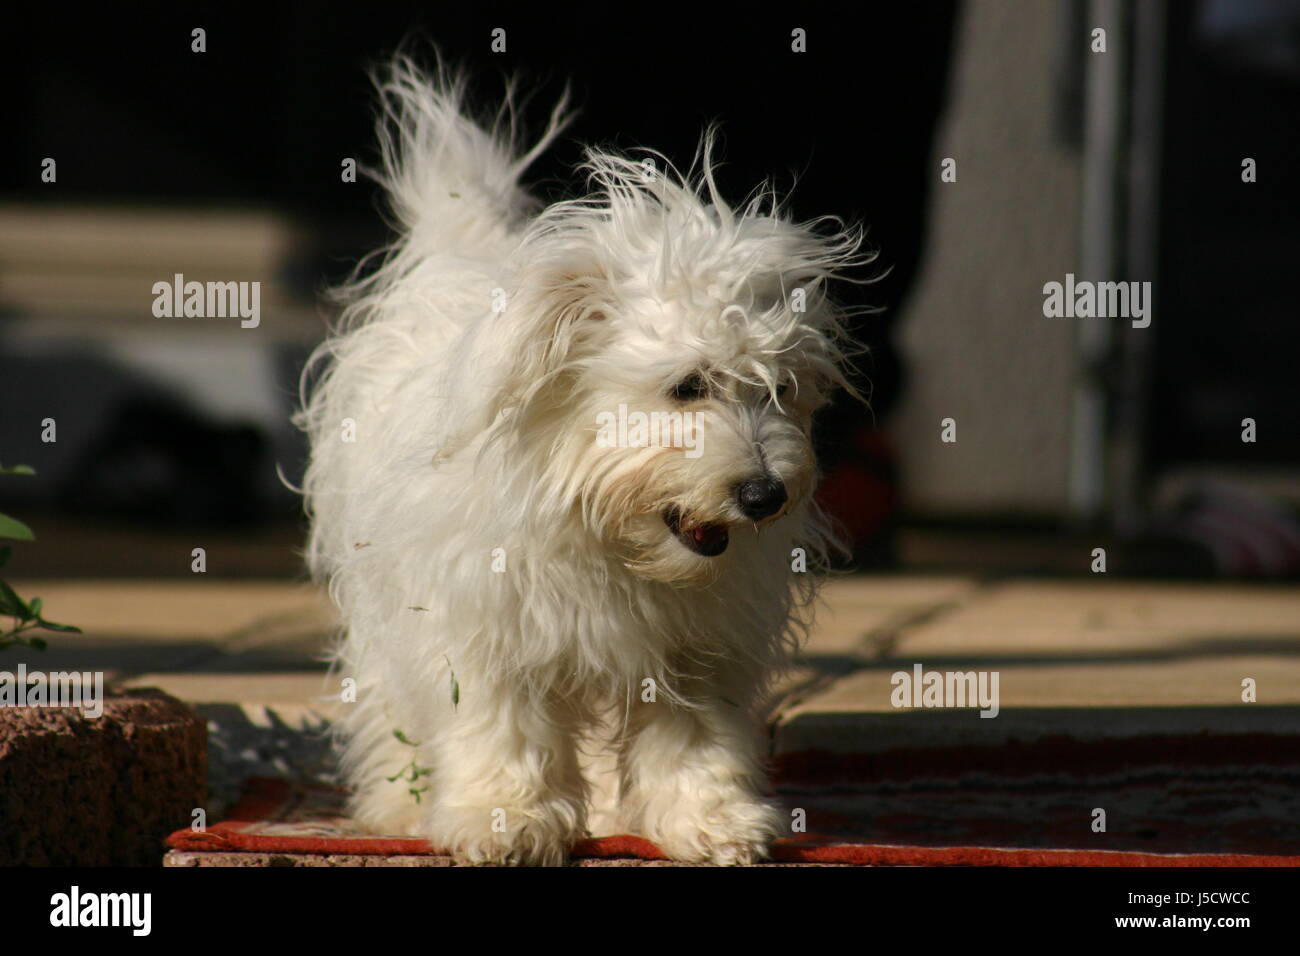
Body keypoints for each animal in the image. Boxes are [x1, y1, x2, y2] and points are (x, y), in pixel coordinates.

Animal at [296, 59, 863, 868]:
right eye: (688, 385)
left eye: (780, 389)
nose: (764, 493)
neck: (603, 530)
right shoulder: (484, 623)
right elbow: (501, 727)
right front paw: (507, 820)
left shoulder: (699, 643)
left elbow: (696, 738)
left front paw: (713, 821)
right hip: (380, 597)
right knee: (386, 698)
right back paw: (399, 804)